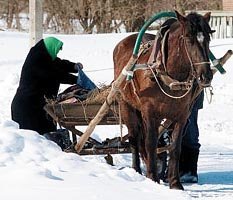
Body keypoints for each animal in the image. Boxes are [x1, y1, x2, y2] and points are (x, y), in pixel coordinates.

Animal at [114, 10, 214, 189]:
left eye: (208, 38)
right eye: (188, 38)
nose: (206, 76)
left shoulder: (181, 116)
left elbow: (175, 147)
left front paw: (175, 182)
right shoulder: (150, 113)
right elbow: (150, 143)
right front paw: (153, 178)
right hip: (127, 106)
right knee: (134, 139)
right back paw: (136, 171)